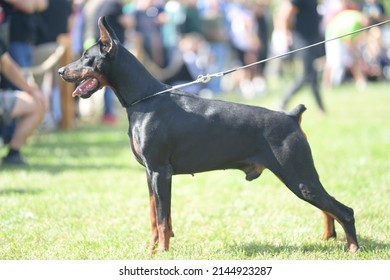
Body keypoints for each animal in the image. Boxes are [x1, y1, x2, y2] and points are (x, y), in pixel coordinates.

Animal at [58, 17, 360, 254]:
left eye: (86, 56)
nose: (61, 70)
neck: (144, 99)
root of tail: (291, 116)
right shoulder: (149, 173)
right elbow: (155, 216)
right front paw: (151, 249)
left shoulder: (160, 171)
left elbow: (163, 219)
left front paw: (162, 252)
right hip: (300, 177)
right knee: (328, 208)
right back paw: (328, 237)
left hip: (298, 176)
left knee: (344, 210)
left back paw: (353, 247)